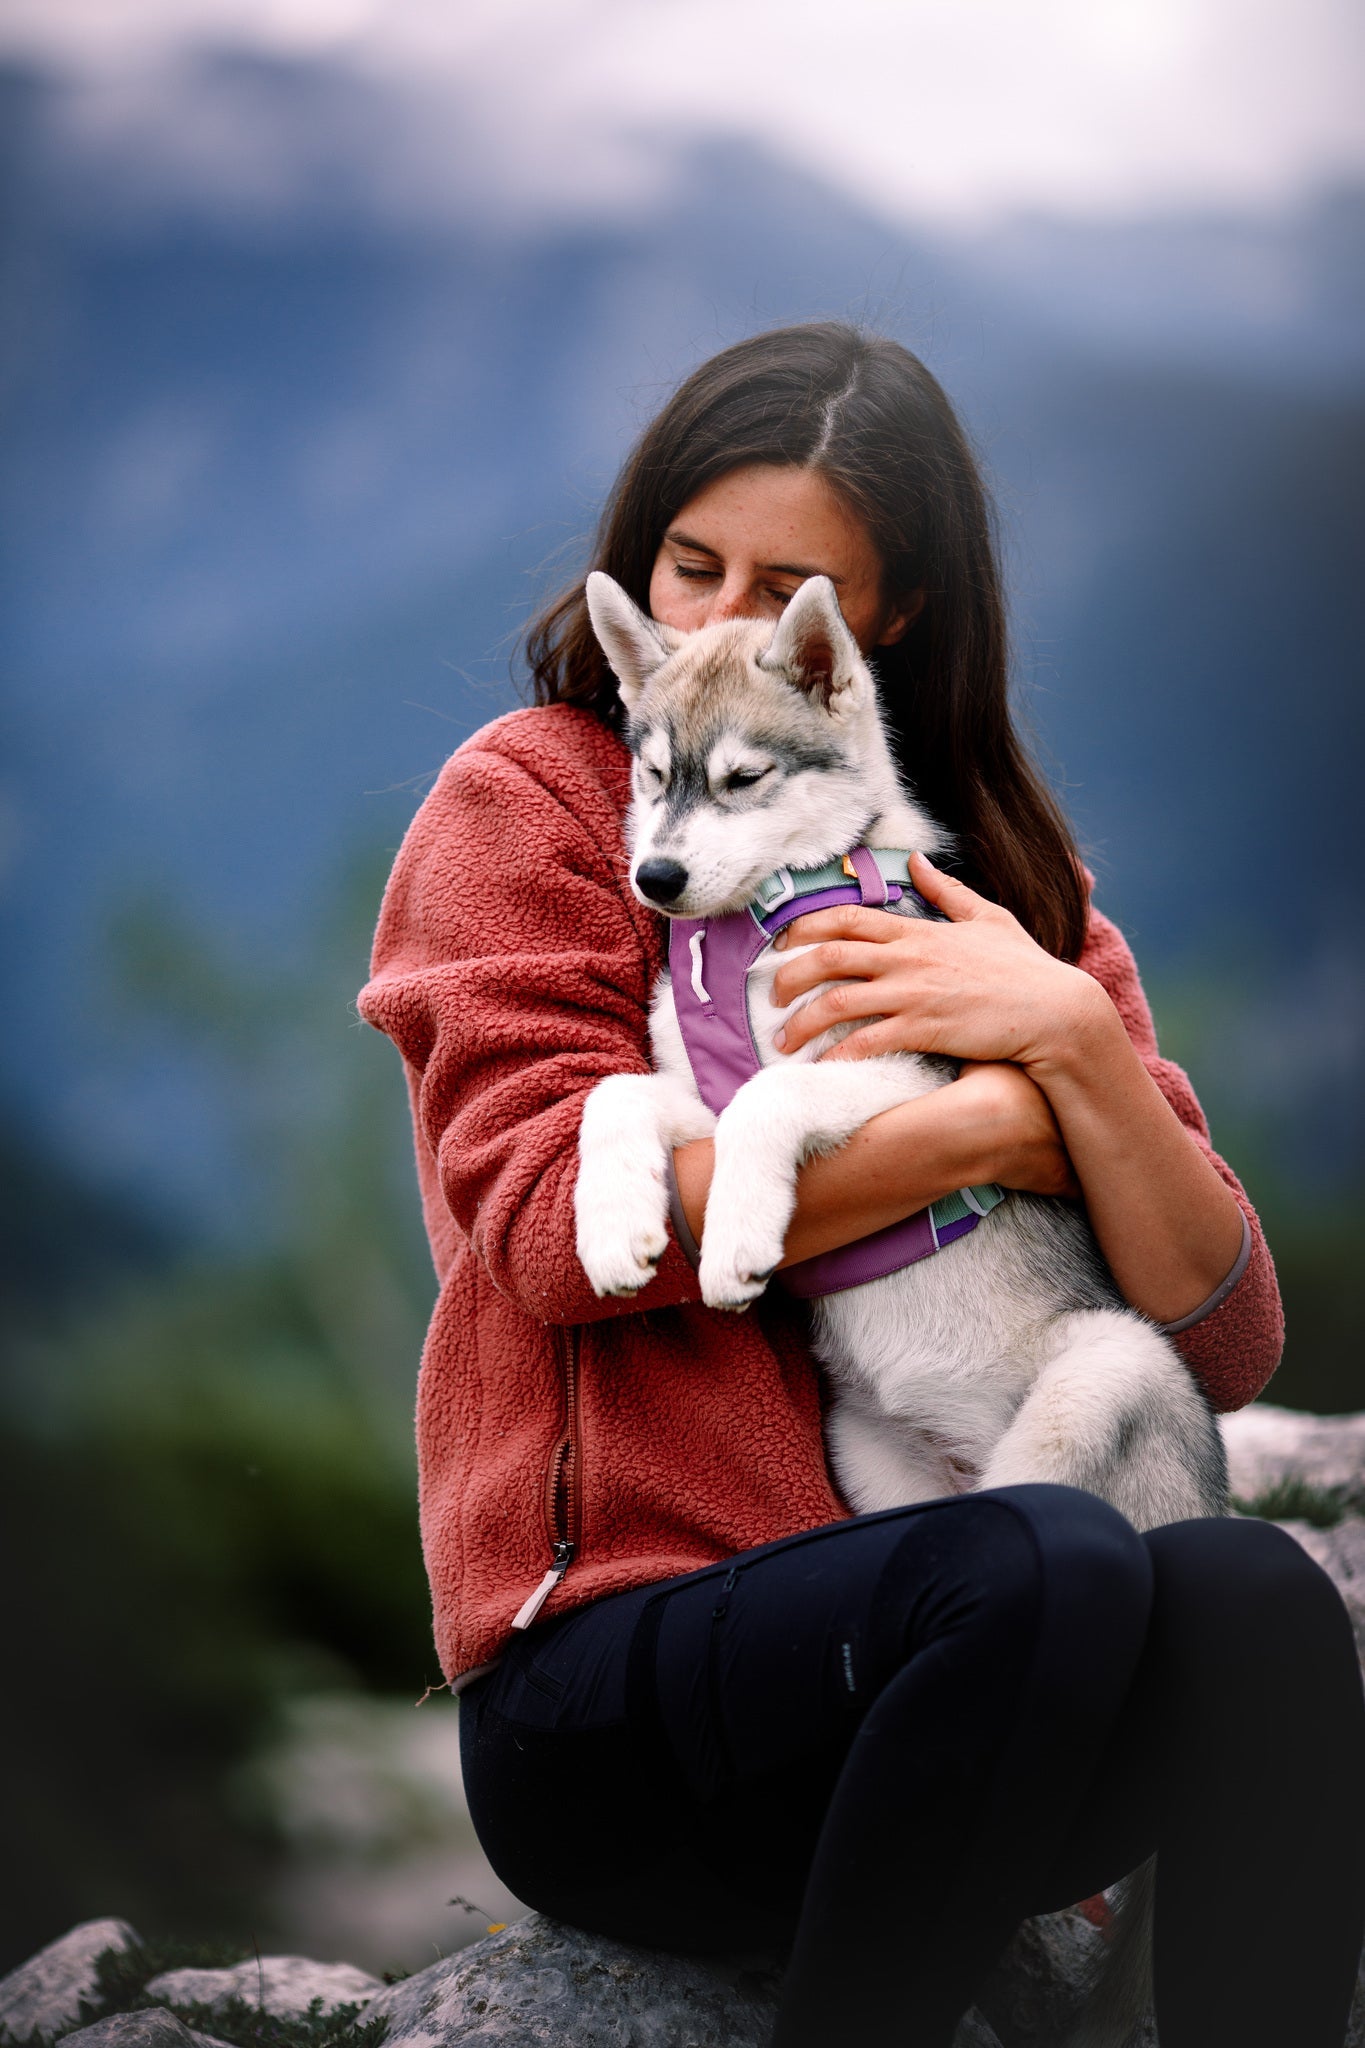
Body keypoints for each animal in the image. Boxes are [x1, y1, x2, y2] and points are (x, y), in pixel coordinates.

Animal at [573, 568, 1228, 1539]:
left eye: (744, 777)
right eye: (653, 775)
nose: (654, 879)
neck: (759, 925)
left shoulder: (912, 1068)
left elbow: (773, 1099)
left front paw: (732, 1241)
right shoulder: (699, 1097)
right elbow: (612, 1094)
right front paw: (614, 1229)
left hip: (1110, 1363)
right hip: (863, 1447)